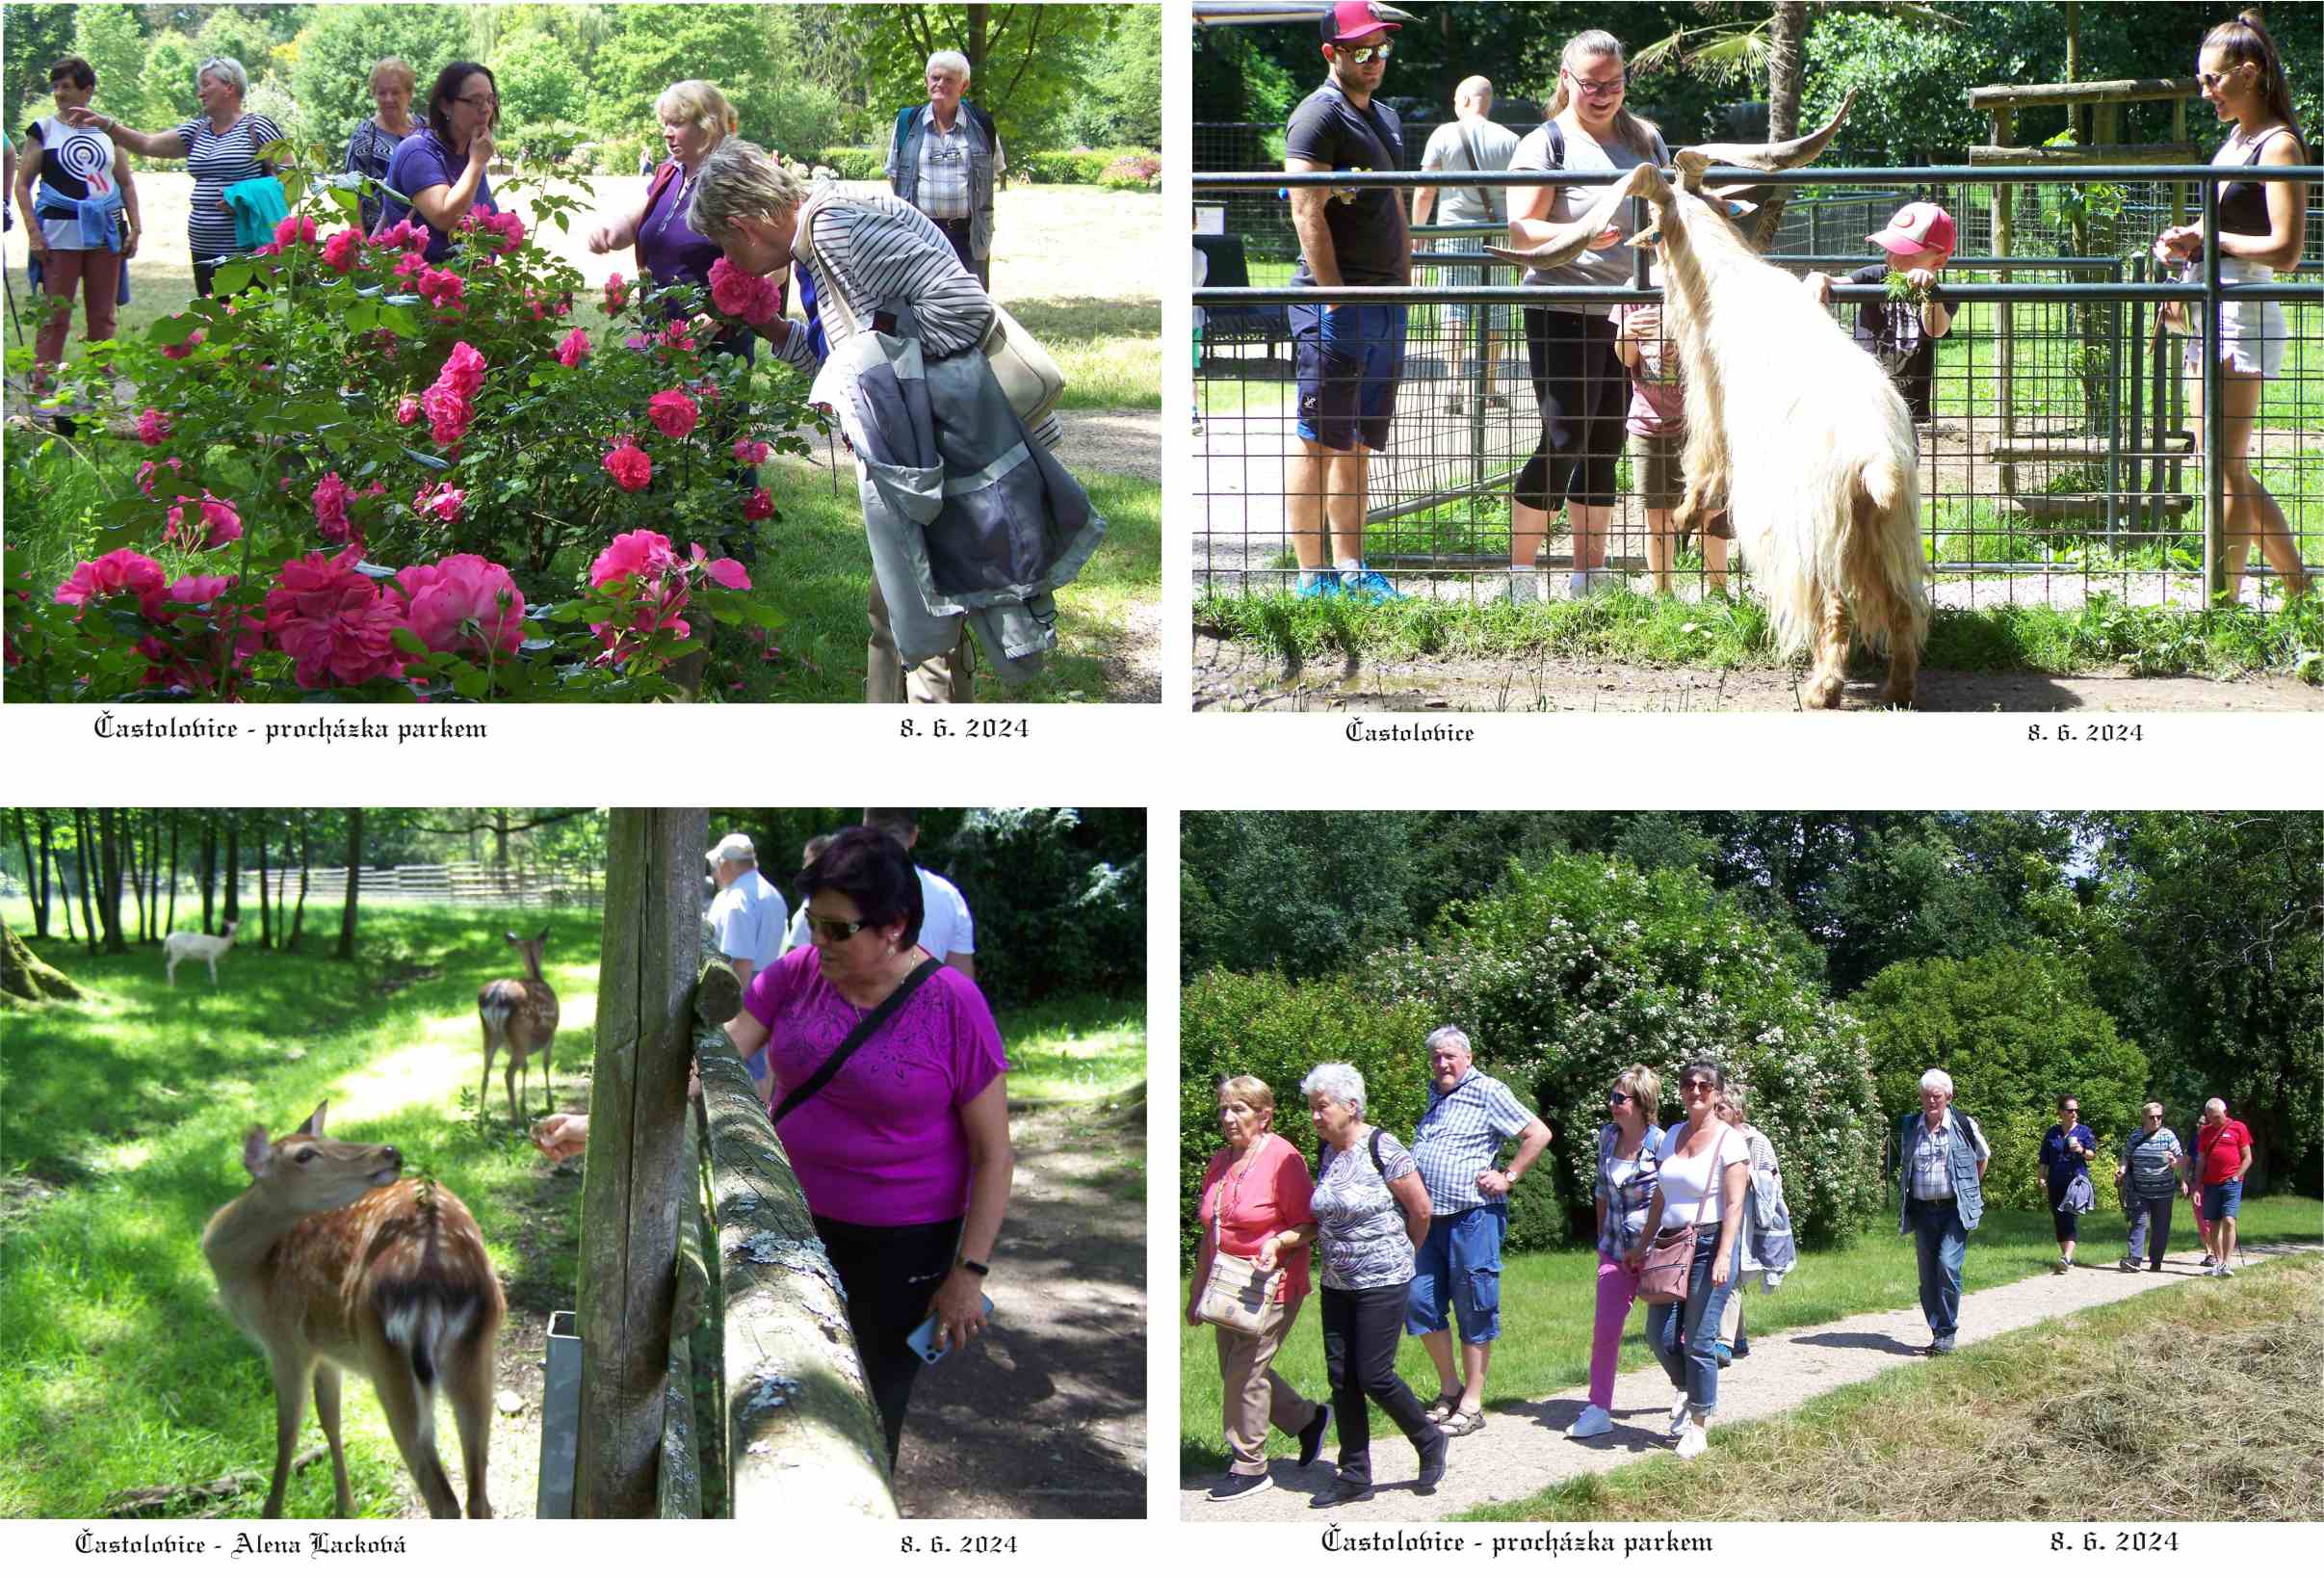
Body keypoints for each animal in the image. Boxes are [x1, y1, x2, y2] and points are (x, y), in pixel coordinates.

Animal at [203, 1096, 504, 1514]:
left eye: (317, 1145)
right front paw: (346, 1507)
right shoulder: (326, 1350)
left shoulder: (285, 1341)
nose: (389, 1151)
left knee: (445, 1500)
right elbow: (331, 1419)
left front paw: (272, 1511)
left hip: (387, 1357)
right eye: (306, 1153)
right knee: (479, 1498)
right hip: (477, 1350)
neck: (249, 1272)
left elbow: (286, 1433)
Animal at [476, 934, 558, 1129]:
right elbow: (545, 1065)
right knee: (507, 1074)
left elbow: (526, 1068)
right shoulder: (551, 1035)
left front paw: (524, 1107)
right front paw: (549, 1103)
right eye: (543, 947)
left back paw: (480, 1122)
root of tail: (496, 997)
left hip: (491, 1035)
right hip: (518, 1034)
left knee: (485, 1074)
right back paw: (515, 1120)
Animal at [1496, 95, 1933, 711]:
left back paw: (1821, 689)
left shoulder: (1708, 408)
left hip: (1812, 530)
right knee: (1902, 606)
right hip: (1889, 533)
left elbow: (1701, 472)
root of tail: (1876, 462)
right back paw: (1899, 686)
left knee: (1833, 606)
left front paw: (1682, 521)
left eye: (1656, 234)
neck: (1730, 282)